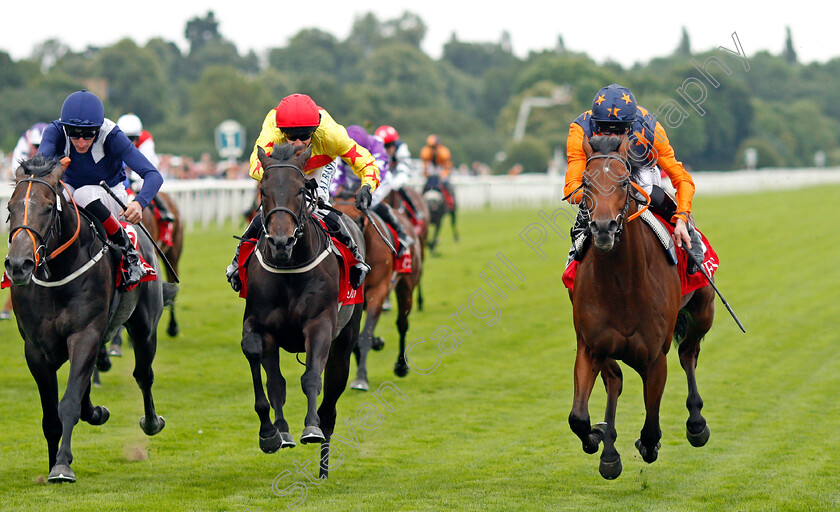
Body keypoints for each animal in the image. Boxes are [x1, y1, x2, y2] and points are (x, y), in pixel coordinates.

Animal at [2, 154, 174, 482]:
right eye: (10, 208)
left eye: (47, 208)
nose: (18, 265)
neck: (58, 274)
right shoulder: (36, 350)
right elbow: (51, 414)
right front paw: (53, 461)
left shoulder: (85, 334)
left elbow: (68, 402)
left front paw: (62, 465)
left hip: (144, 326)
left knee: (143, 374)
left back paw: (151, 422)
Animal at [240, 145, 364, 480]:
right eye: (263, 190)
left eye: (300, 190)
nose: (281, 241)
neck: (289, 268)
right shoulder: (260, 325)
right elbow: (267, 375)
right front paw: (272, 433)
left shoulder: (319, 324)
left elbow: (311, 378)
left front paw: (310, 428)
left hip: (344, 341)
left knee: (330, 403)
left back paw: (323, 466)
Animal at [332, 198, 424, 390]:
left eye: (359, 221)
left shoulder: (378, 291)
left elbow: (365, 335)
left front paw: (360, 379)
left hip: (407, 284)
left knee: (402, 323)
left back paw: (401, 365)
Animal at [568, 136, 712, 480]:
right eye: (586, 182)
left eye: (623, 182)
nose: (603, 228)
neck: (622, 287)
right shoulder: (590, 347)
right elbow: (578, 417)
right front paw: (598, 438)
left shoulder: (654, 357)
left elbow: (650, 430)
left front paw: (648, 444)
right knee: (615, 380)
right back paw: (608, 448)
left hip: (704, 311)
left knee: (688, 353)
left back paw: (696, 423)